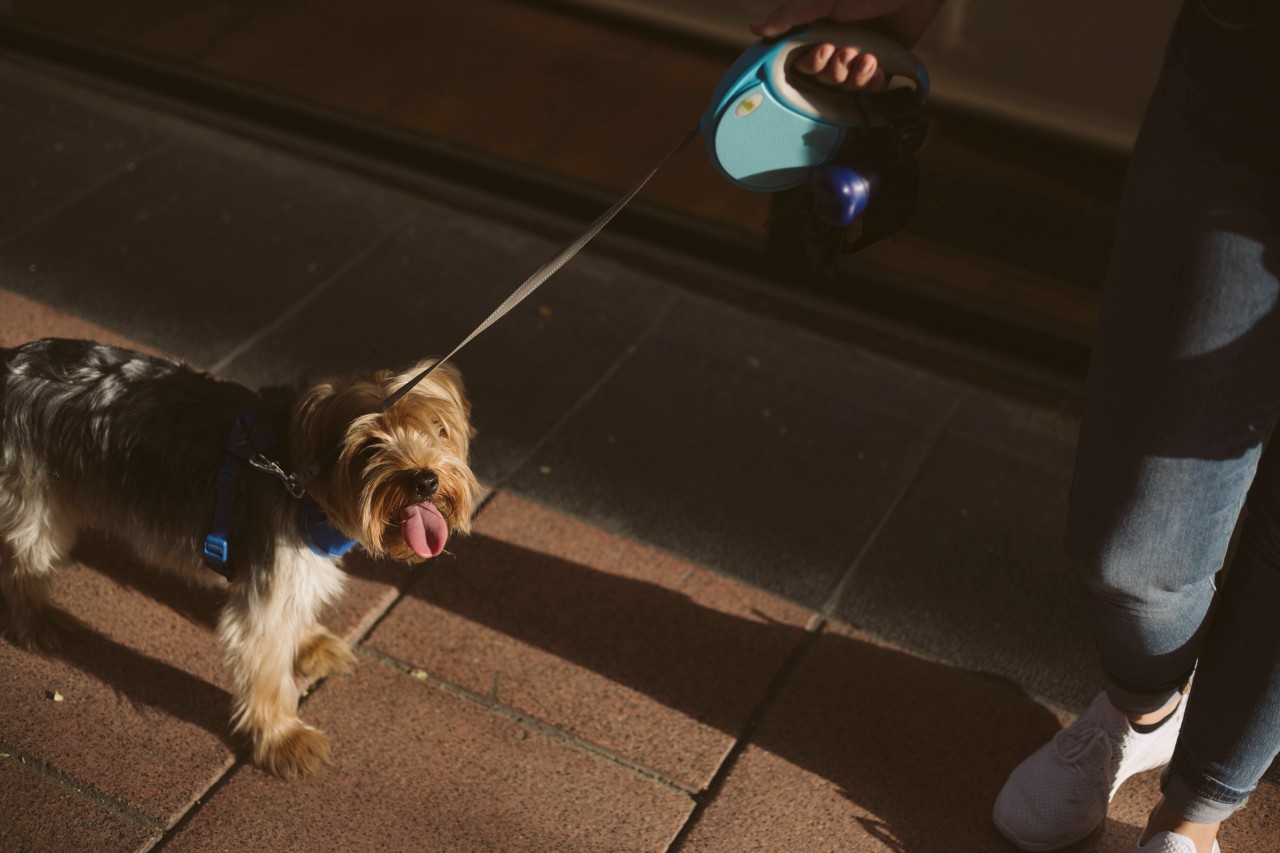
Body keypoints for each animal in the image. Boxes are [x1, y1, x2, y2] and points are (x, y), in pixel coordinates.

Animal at [0, 338, 481, 778]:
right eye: (369, 446)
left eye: (438, 429)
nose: (424, 480)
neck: (304, 478)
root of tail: (11, 360)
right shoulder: (269, 593)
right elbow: (268, 669)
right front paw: (284, 738)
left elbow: (296, 616)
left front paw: (308, 643)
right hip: (35, 498)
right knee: (24, 556)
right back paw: (36, 621)